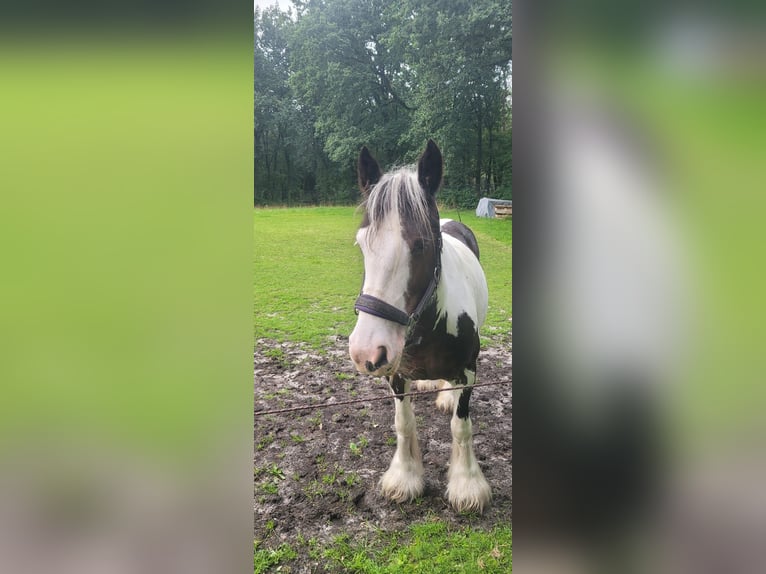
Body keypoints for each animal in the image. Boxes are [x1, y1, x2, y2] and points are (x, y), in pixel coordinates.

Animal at [350, 142, 492, 516]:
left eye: (421, 245)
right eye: (361, 244)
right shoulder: (396, 372)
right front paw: (405, 476)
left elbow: (461, 425)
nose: (365, 351)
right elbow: (404, 422)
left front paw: (467, 484)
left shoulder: (469, 370)